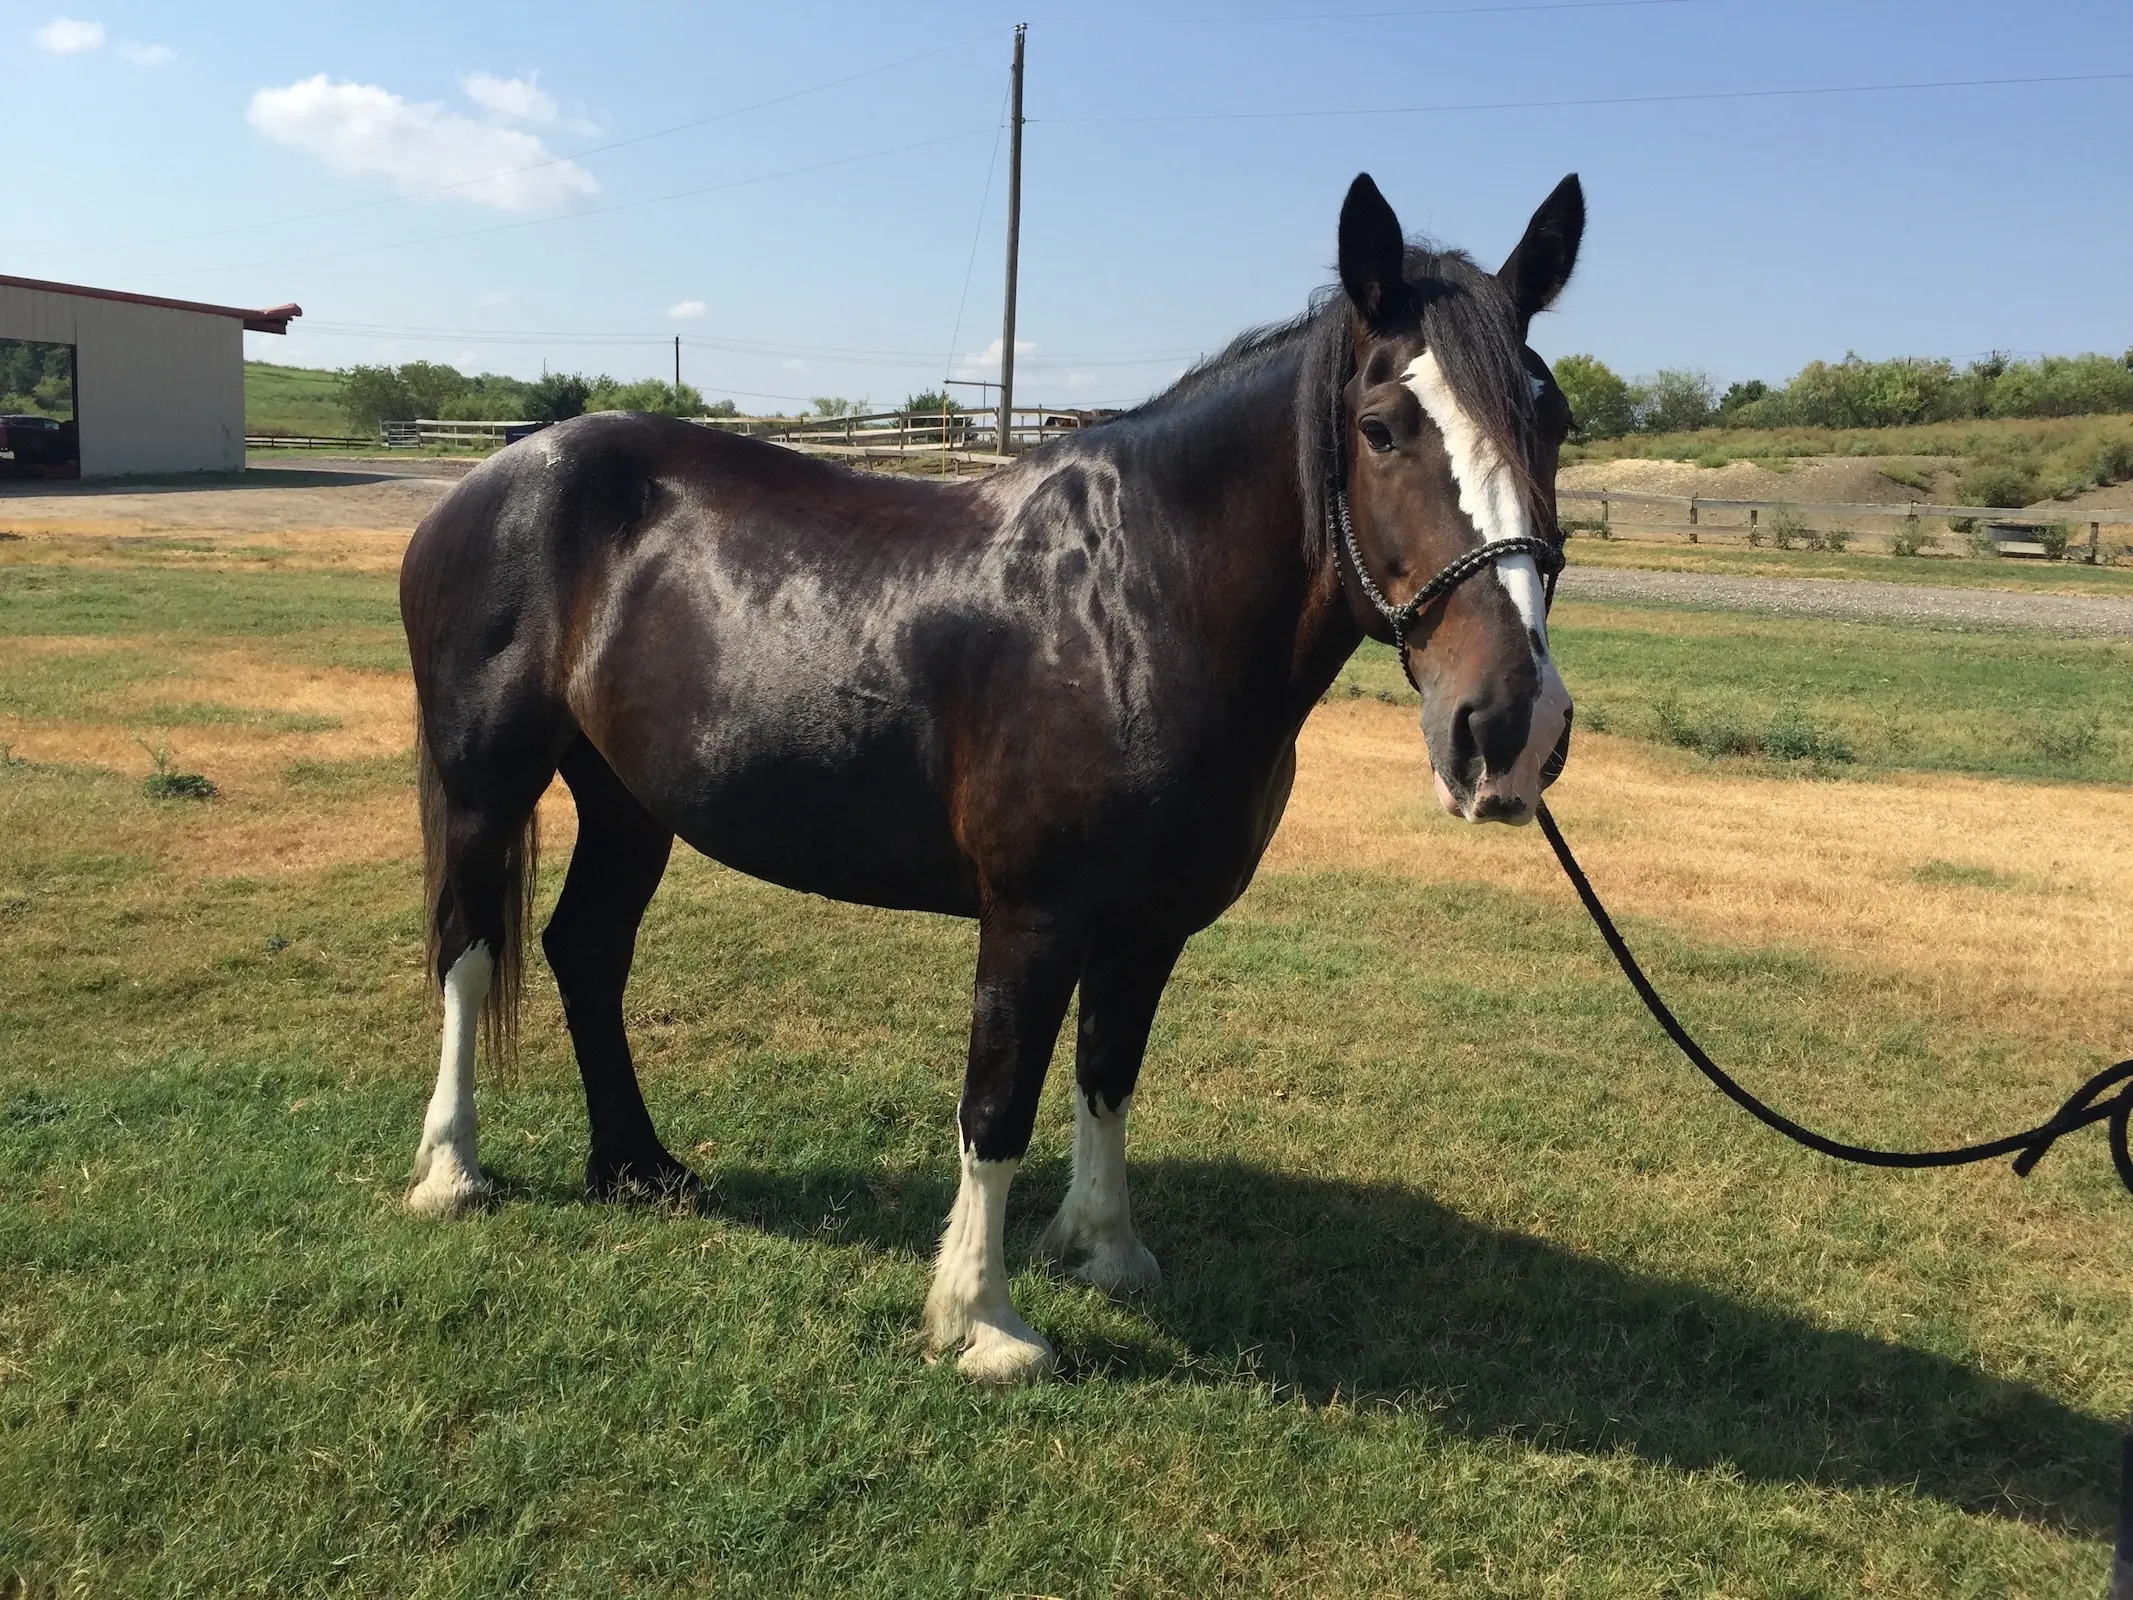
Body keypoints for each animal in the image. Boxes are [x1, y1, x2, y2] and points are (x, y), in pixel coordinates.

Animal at [401, 172, 1586, 1382]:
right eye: (1382, 428)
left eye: (1555, 424)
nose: (1510, 727)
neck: (1132, 602)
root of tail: (491, 476)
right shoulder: (1033, 916)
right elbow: (998, 1101)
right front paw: (985, 1320)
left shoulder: (1148, 925)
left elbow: (1108, 1074)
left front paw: (1105, 1251)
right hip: (488, 783)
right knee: (467, 950)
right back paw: (452, 1171)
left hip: (630, 803)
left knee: (586, 950)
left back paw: (638, 1165)